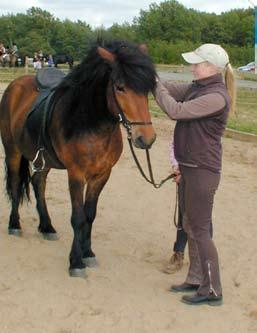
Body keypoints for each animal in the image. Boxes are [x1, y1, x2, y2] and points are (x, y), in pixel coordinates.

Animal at [0, 40, 156, 276]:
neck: (91, 124)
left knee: (39, 184)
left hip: (43, 159)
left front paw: (88, 253)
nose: (146, 138)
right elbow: (78, 217)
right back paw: (14, 225)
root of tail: (14, 86)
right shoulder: (76, 175)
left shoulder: (101, 175)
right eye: (120, 87)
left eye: (147, 88)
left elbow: (89, 214)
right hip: (13, 152)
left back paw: (47, 226)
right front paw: (75, 262)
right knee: (17, 184)